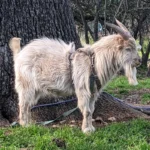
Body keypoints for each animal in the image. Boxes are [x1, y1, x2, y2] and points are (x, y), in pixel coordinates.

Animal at [9, 19, 141, 134]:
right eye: (128, 48)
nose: (139, 61)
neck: (94, 61)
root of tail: (19, 54)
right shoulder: (83, 89)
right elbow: (86, 110)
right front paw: (87, 130)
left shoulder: (93, 92)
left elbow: (91, 110)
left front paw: (91, 127)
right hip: (26, 84)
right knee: (23, 104)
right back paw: (25, 125)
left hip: (35, 89)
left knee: (28, 105)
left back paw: (29, 123)